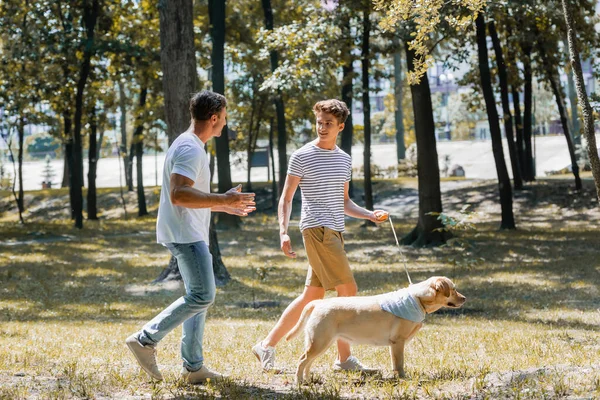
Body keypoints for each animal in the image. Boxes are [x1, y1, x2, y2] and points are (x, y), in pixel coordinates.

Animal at [286, 276, 464, 382]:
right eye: (454, 289)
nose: (465, 298)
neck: (418, 299)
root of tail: (319, 303)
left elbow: (396, 364)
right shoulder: (397, 342)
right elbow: (399, 364)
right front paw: (402, 378)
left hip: (321, 342)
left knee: (308, 362)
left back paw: (307, 380)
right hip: (319, 341)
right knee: (302, 360)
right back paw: (299, 381)